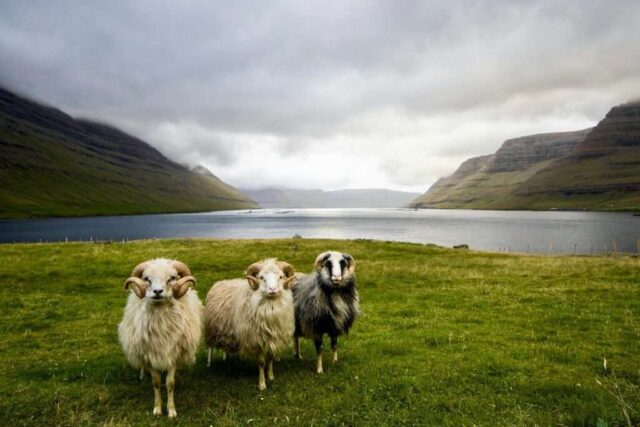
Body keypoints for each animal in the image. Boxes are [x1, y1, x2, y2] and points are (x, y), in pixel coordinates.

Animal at [118, 259, 202, 418]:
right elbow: (156, 383)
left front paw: (171, 410)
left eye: (172, 278)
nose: (157, 292)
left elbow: (170, 384)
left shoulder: (173, 354)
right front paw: (157, 409)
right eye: (146, 279)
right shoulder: (149, 354)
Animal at [204, 259, 296, 391]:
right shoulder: (257, 339)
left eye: (281, 276)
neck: (271, 308)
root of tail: (220, 282)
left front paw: (270, 376)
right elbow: (261, 362)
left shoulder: (273, 337)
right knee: (210, 348)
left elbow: (270, 358)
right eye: (261, 277)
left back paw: (225, 358)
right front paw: (262, 385)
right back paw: (209, 363)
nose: (273, 290)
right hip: (210, 328)